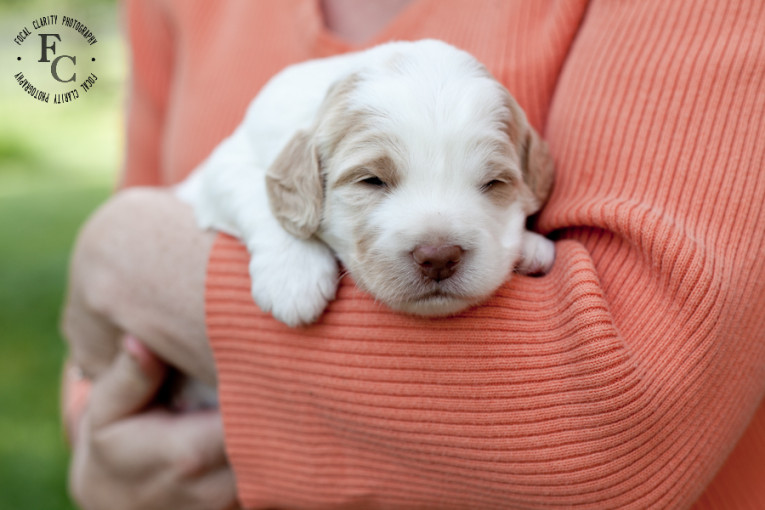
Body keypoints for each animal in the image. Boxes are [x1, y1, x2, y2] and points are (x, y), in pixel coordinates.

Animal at [176, 38, 552, 326]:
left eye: (494, 183)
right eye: (372, 181)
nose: (439, 257)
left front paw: (531, 245)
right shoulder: (222, 165)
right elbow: (256, 191)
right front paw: (293, 277)